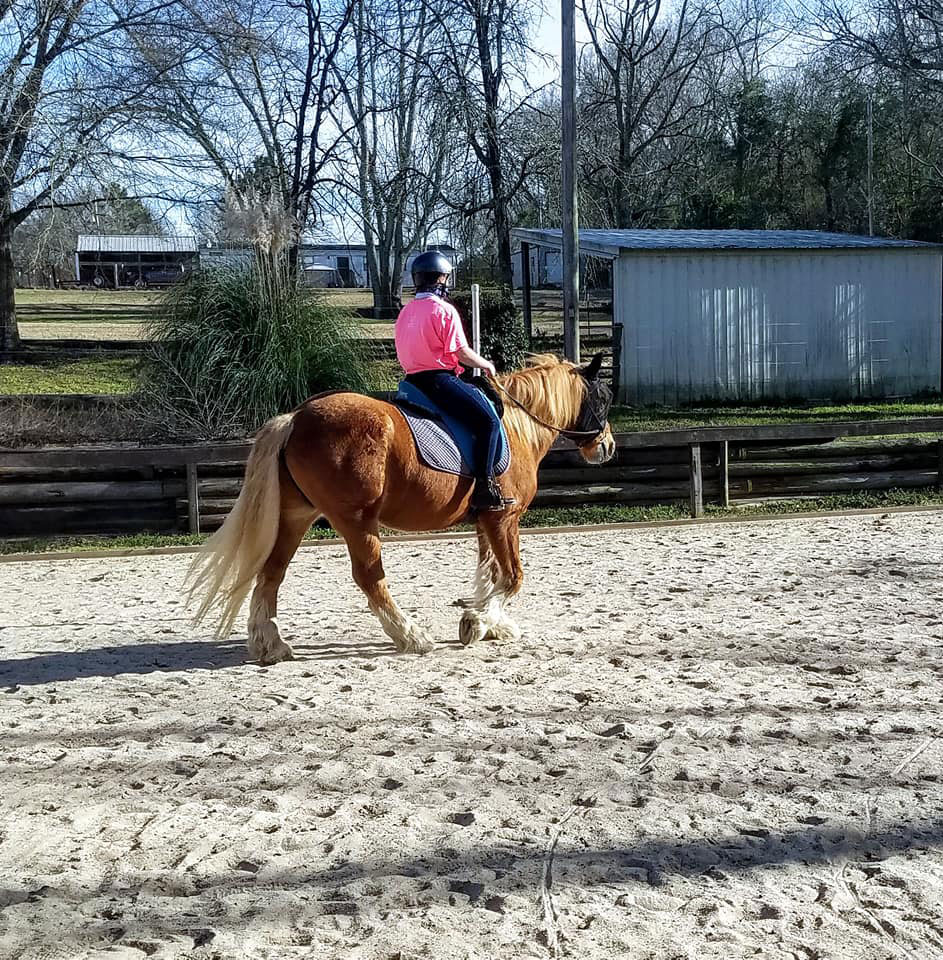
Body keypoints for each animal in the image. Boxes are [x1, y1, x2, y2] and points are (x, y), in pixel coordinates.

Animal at [188, 352, 616, 660]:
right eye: (604, 398)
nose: (608, 447)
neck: (516, 426)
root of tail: (296, 417)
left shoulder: (485, 521)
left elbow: (489, 572)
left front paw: (492, 624)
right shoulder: (503, 517)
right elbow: (512, 576)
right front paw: (477, 622)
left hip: (296, 517)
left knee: (271, 573)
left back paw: (272, 645)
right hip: (358, 521)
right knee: (369, 578)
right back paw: (411, 636)